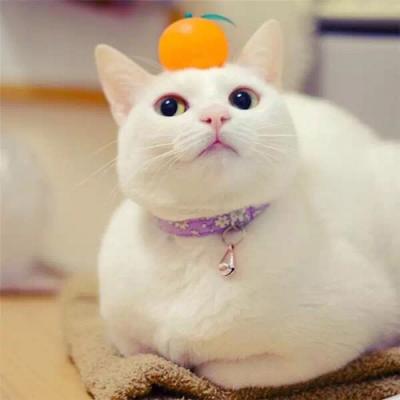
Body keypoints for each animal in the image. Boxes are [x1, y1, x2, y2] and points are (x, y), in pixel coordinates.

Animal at [95, 20, 400, 389]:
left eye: (242, 98)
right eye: (170, 107)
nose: (215, 115)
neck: (200, 243)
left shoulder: (348, 327)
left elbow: (223, 372)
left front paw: (194, 361)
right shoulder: (122, 335)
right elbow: (144, 352)